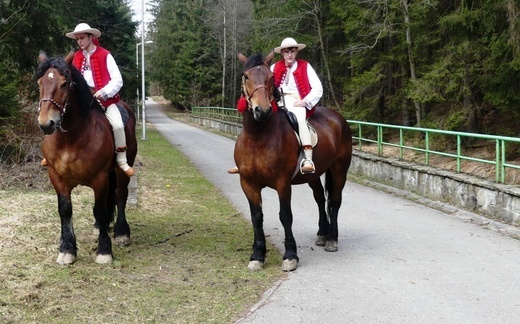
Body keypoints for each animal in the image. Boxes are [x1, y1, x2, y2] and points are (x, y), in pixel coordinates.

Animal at [35, 52, 137, 264]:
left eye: (64, 84)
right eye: (40, 83)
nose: (46, 123)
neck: (70, 139)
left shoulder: (100, 178)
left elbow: (100, 209)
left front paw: (104, 251)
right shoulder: (56, 177)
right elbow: (65, 209)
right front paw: (67, 249)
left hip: (122, 170)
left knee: (120, 194)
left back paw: (122, 233)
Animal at [236, 52, 354, 270]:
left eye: (271, 77)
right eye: (246, 76)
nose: (262, 111)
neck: (257, 137)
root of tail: (337, 117)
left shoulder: (282, 183)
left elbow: (285, 216)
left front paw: (290, 255)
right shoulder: (248, 183)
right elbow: (257, 217)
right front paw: (257, 255)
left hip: (340, 169)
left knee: (334, 200)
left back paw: (332, 239)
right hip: (314, 175)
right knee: (320, 198)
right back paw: (322, 234)